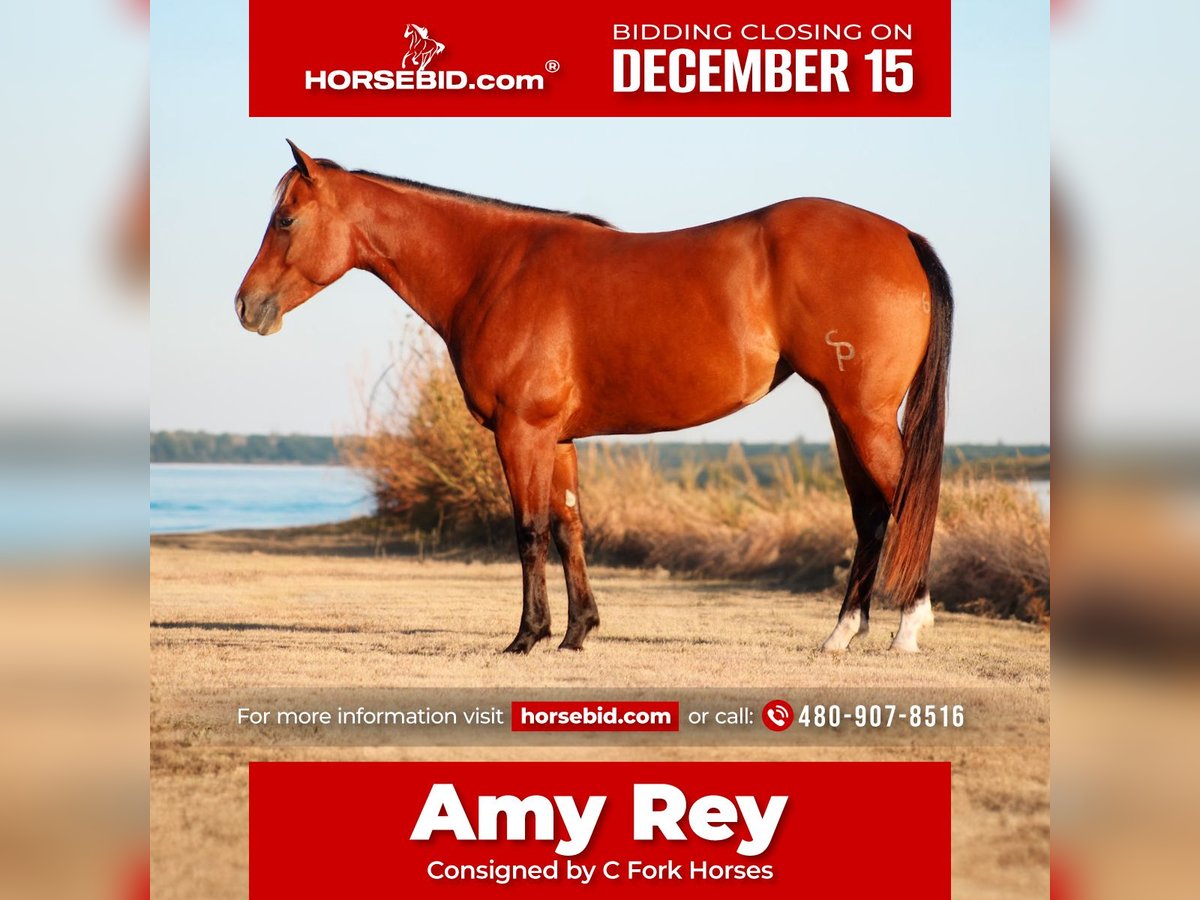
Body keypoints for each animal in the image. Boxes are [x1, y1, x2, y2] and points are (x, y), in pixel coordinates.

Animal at [235, 141, 953, 654]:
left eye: (285, 219)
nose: (247, 307)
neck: (495, 269)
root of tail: (902, 236)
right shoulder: (558, 437)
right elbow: (569, 528)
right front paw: (579, 632)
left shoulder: (520, 431)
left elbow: (528, 530)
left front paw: (527, 637)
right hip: (845, 416)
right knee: (871, 513)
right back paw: (841, 634)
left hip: (862, 415)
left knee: (906, 499)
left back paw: (907, 630)